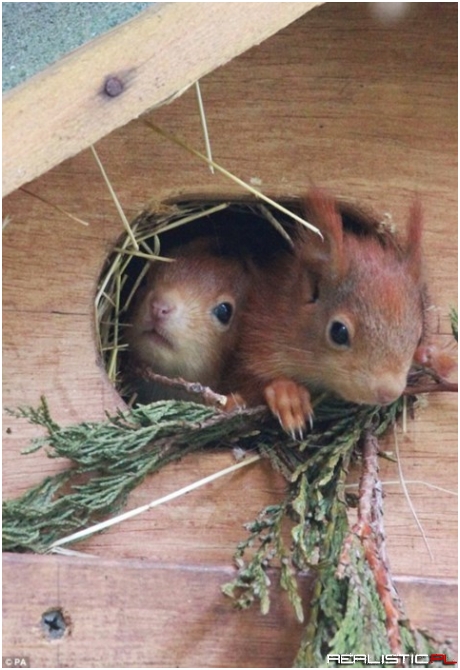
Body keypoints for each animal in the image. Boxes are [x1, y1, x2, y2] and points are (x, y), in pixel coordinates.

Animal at [225, 189, 429, 436]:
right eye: (339, 332)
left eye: (418, 336)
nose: (388, 391)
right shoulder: (259, 334)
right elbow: (245, 382)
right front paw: (288, 395)